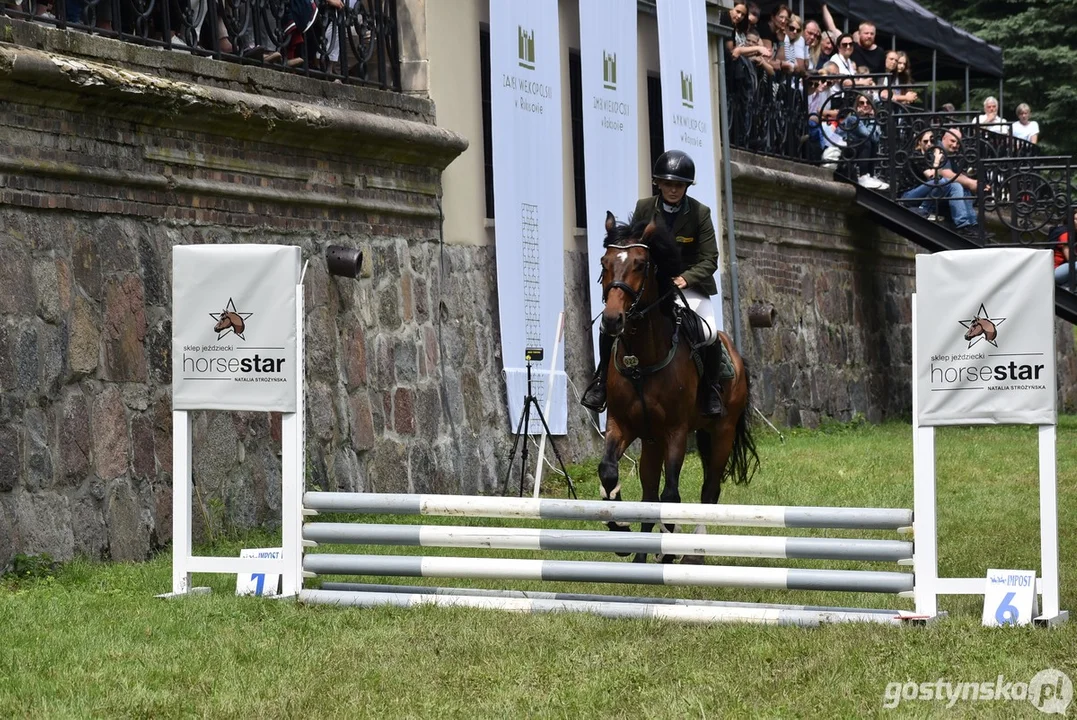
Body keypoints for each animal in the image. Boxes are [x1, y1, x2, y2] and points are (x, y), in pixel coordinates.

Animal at [598, 210, 758, 563]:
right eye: (604, 262)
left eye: (641, 264)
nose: (612, 321)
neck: (640, 360)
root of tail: (735, 352)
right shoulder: (621, 425)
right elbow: (609, 472)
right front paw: (620, 530)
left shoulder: (676, 431)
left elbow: (671, 493)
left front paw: (670, 544)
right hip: (652, 440)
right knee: (648, 494)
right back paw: (643, 556)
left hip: (721, 432)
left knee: (709, 490)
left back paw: (694, 551)